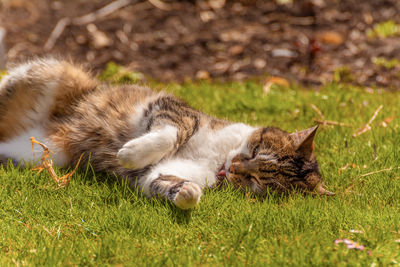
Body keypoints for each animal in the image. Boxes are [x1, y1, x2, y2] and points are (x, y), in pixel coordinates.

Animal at [0, 58, 334, 209]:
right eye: (253, 151)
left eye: (256, 182)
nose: (235, 168)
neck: (217, 158)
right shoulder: (173, 110)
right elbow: (172, 133)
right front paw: (129, 154)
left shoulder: (160, 173)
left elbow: (165, 183)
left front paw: (187, 193)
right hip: (54, 73)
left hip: (36, 155)